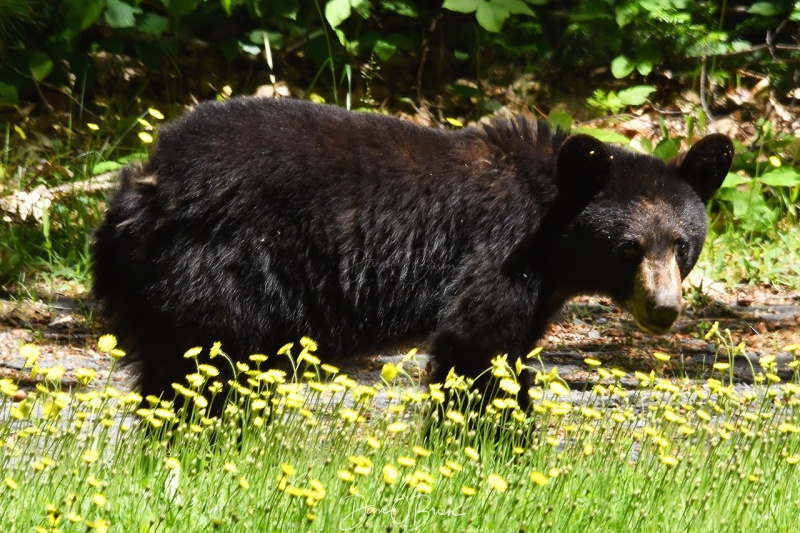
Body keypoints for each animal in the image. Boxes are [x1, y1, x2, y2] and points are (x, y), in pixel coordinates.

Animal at [90, 96, 736, 404]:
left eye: (682, 245)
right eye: (629, 247)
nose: (664, 309)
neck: (550, 228)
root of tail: (147, 183)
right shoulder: (499, 253)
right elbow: (478, 346)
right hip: (218, 268)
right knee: (206, 364)